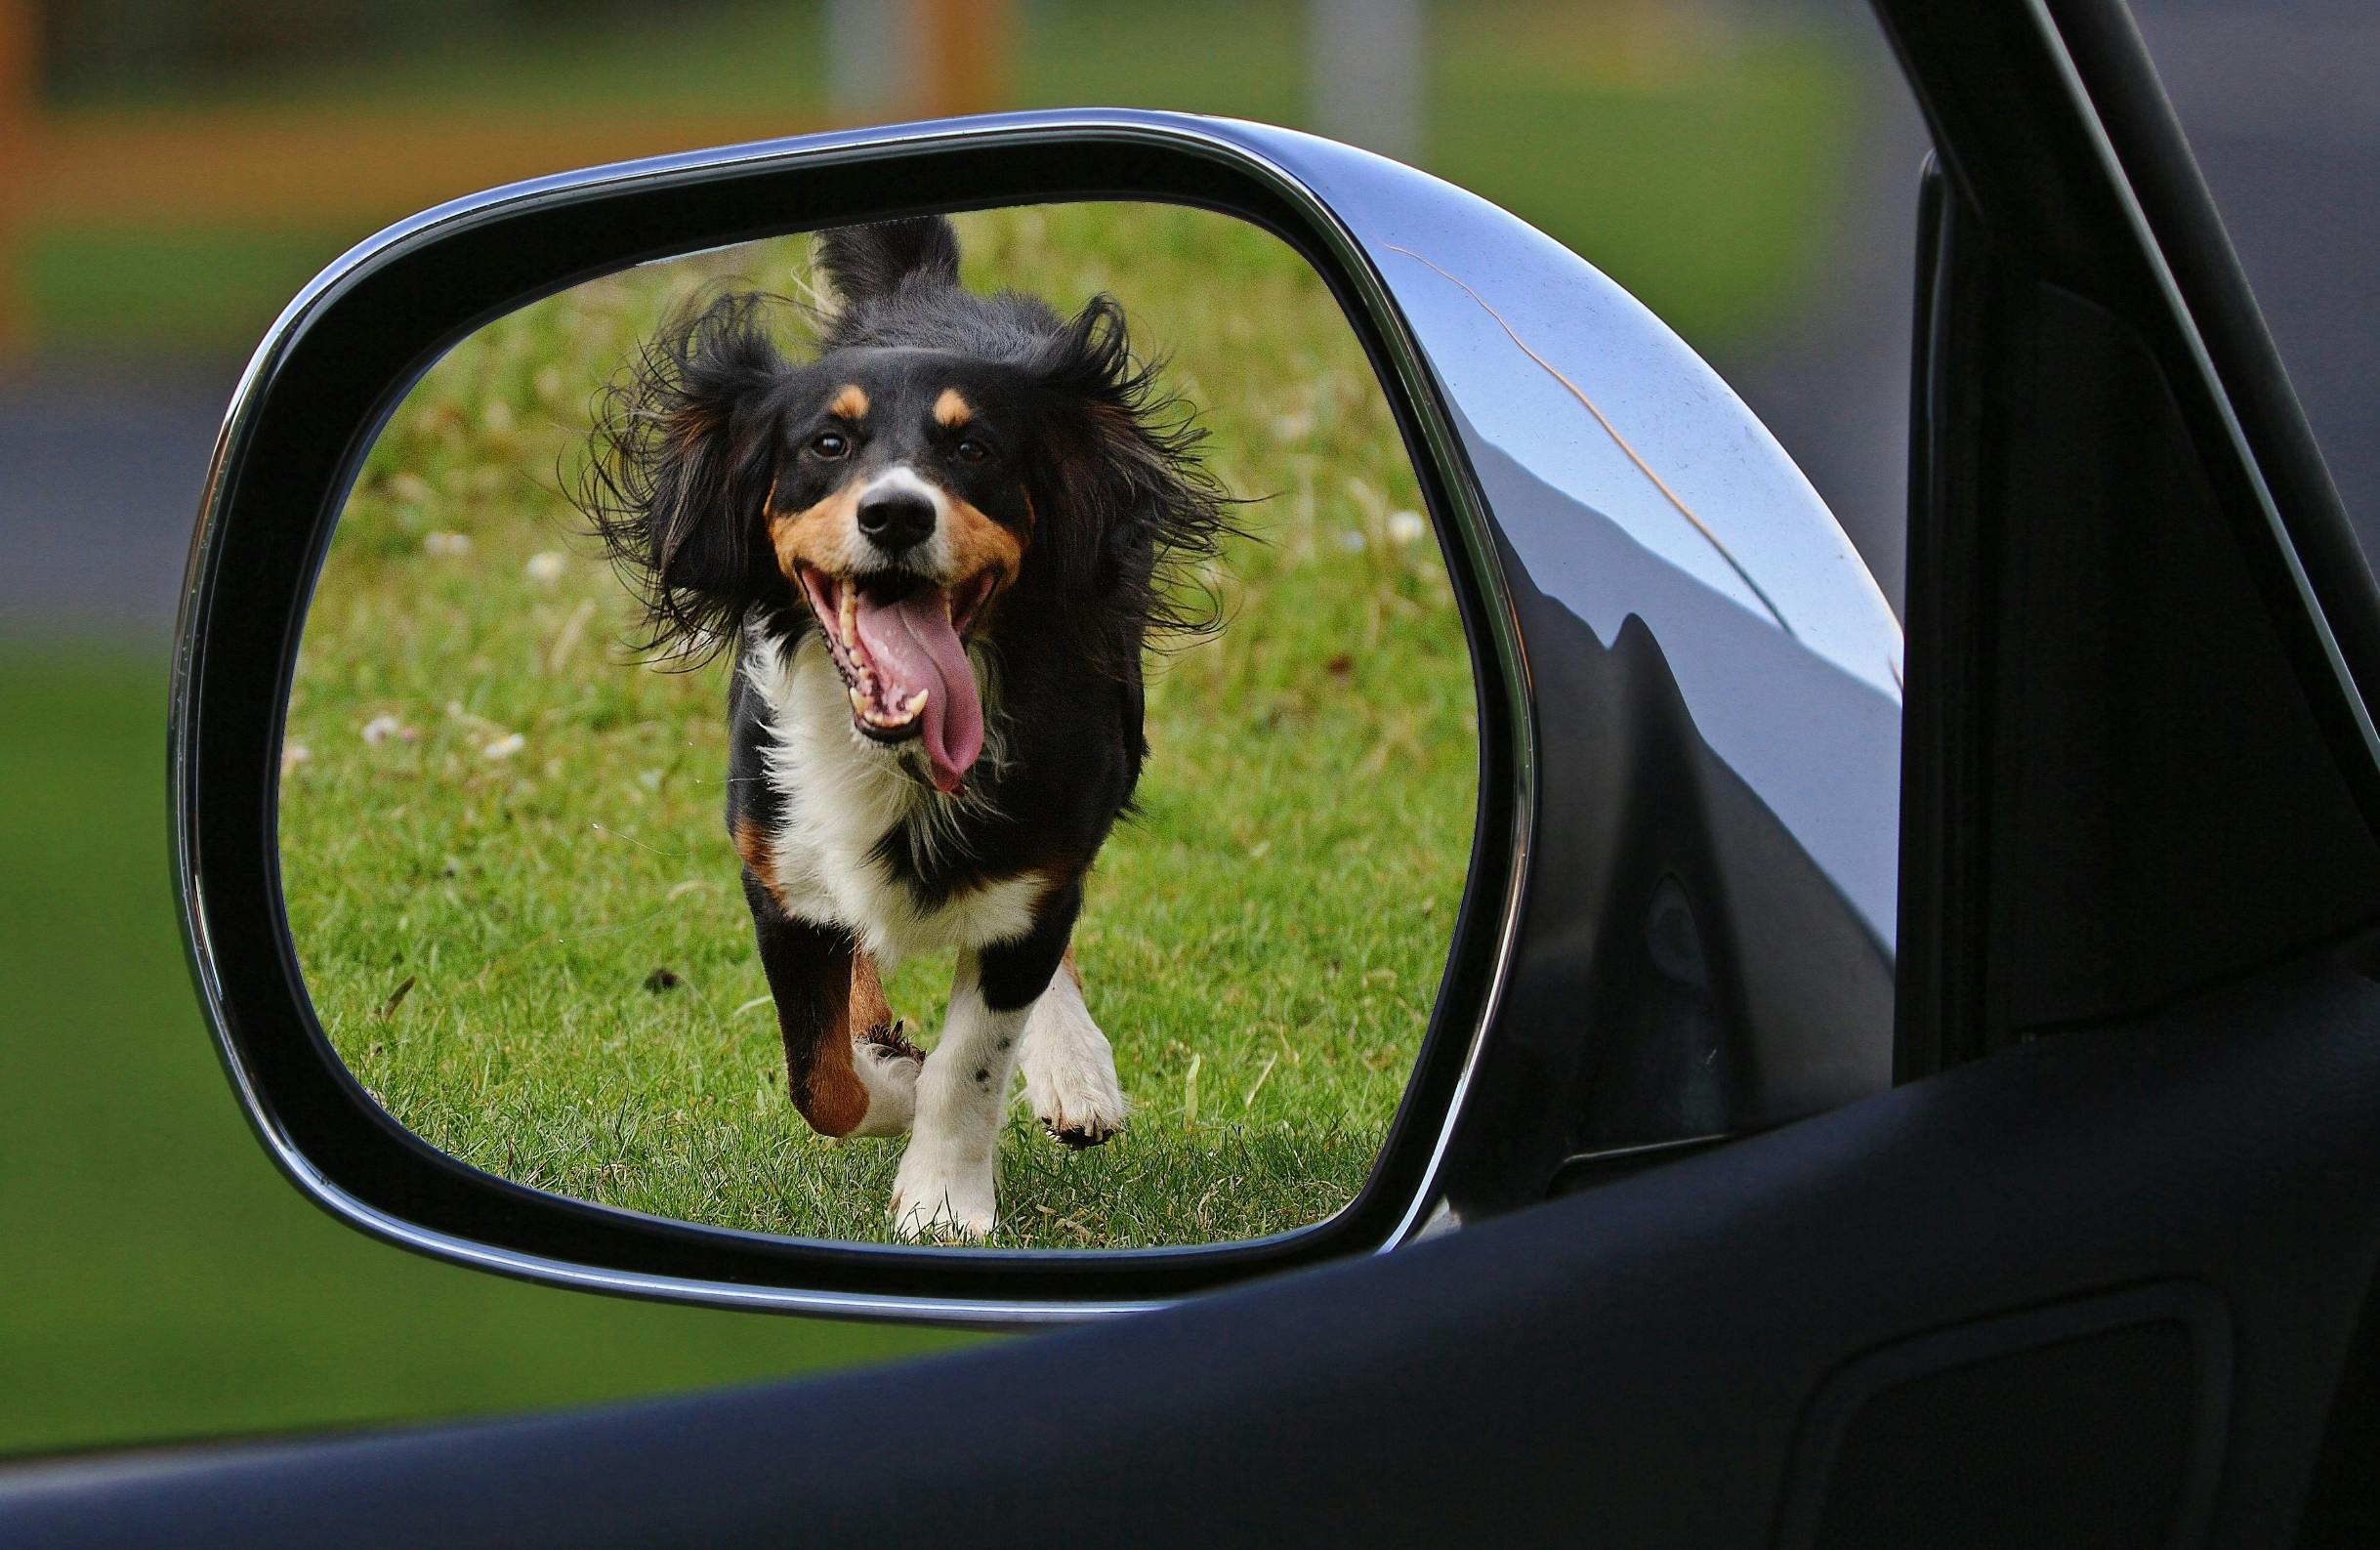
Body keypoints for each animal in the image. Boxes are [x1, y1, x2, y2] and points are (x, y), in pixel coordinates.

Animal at [583, 218, 1228, 1237]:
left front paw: (944, 1202)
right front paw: (892, 1075)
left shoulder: (1040, 862)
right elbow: (821, 1076)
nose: (894, 512)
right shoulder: (781, 872)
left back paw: (1074, 1069)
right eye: (826, 442)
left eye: (975, 450)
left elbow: (971, 1061)